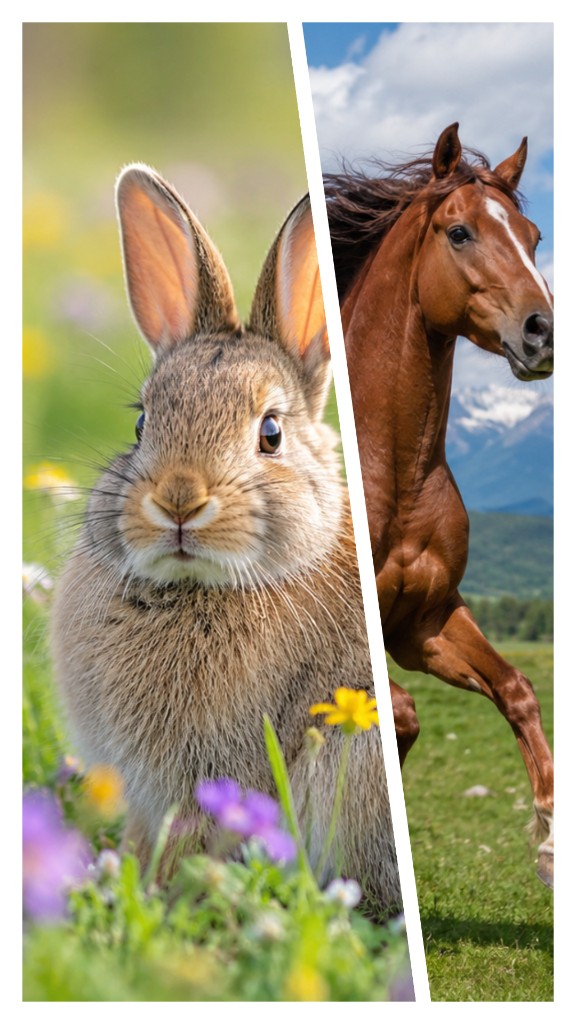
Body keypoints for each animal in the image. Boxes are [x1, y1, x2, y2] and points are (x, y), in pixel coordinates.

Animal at [324, 123, 554, 888]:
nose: (542, 331)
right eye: (459, 232)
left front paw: (551, 847)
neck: (394, 468)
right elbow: (400, 713)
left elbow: (517, 689)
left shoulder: (425, 622)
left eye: (534, 236)